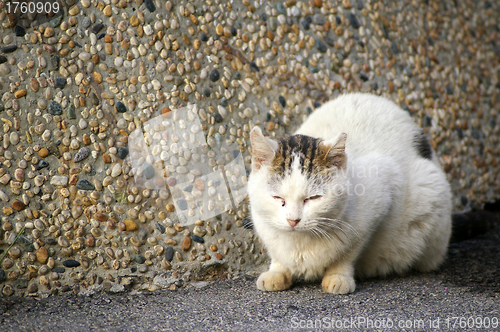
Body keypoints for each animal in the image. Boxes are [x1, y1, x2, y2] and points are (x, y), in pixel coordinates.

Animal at [248, 92, 452, 294]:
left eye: (313, 198)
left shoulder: (381, 197)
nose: (293, 220)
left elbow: (348, 253)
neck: (299, 242)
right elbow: (277, 255)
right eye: (277, 198)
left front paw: (337, 276)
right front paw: (277, 272)